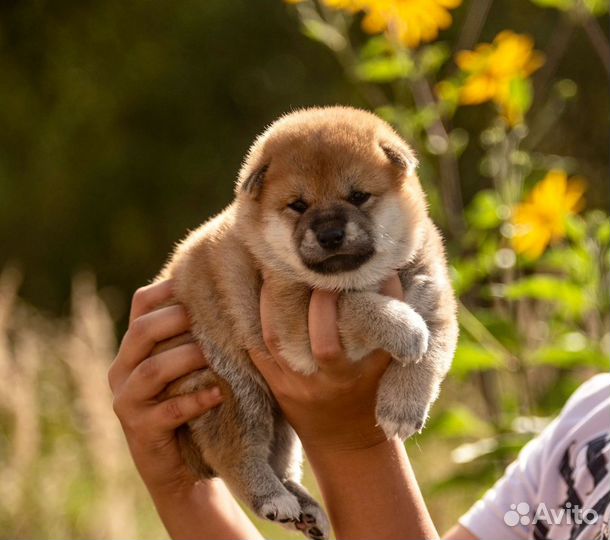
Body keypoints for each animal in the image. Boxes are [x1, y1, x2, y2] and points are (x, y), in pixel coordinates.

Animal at [157, 106, 456, 540]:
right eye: (298, 205)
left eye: (358, 196)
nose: (330, 234)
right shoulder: (294, 321)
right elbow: (355, 306)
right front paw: (403, 327)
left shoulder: (435, 297)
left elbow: (431, 355)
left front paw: (403, 405)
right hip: (235, 391)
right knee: (232, 454)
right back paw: (274, 500)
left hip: (280, 421)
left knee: (278, 462)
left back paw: (306, 510)